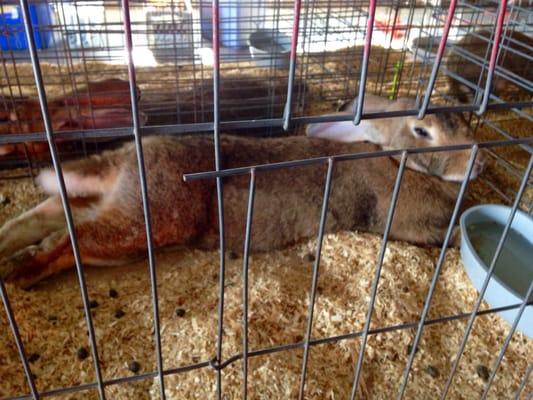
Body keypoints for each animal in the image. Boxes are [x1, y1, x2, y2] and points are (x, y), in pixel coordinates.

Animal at [0, 106, 482, 288]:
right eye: (422, 131)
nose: (476, 162)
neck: (397, 161)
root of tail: (129, 158)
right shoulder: (409, 223)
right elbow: (446, 235)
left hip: (117, 210)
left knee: (47, 215)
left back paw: (9, 251)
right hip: (149, 219)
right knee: (74, 239)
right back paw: (21, 273)